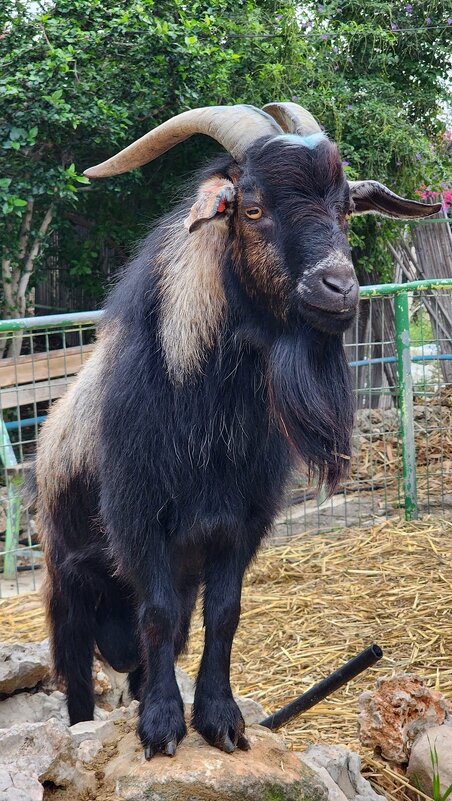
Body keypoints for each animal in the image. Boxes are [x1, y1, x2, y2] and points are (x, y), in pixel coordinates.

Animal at [34, 101, 438, 756]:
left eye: (344, 208)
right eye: (251, 208)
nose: (339, 288)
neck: (204, 407)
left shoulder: (239, 523)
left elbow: (224, 613)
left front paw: (218, 720)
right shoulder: (139, 519)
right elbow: (156, 612)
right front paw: (161, 728)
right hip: (65, 586)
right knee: (77, 679)